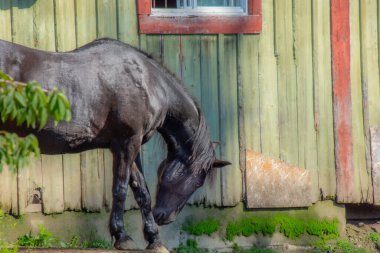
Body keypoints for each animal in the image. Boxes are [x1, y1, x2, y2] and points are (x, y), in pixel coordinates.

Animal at [0, 38, 229, 252]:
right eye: (199, 182)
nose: (164, 217)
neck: (147, 81)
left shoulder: (132, 146)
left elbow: (142, 191)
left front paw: (154, 240)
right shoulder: (126, 143)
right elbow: (120, 189)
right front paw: (122, 237)